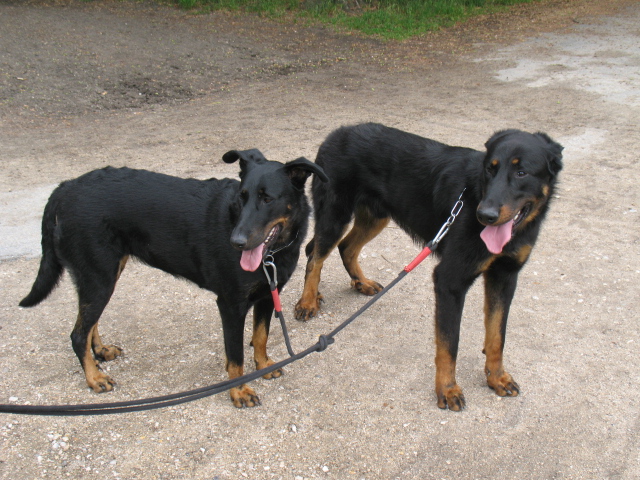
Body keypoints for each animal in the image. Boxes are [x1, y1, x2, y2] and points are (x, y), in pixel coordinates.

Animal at [20, 150, 328, 408]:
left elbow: (261, 337)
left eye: (267, 199)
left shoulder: (267, 295)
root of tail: (65, 187)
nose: (236, 242)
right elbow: (235, 355)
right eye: (242, 197)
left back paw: (100, 352)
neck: (273, 253)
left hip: (101, 274)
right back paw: (94, 378)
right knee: (77, 334)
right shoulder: (230, 305)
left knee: (87, 325)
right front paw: (239, 390)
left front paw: (263, 365)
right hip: (100, 276)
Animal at [292, 122, 564, 410]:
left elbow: (497, 336)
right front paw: (447, 389)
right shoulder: (450, 281)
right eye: (490, 169)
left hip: (376, 216)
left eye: (522, 172)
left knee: (344, 248)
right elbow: (449, 343)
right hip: (336, 215)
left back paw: (359, 283)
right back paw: (308, 300)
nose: (484, 216)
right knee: (315, 256)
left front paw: (496, 377)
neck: (476, 193)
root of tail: (335, 134)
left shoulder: (504, 278)